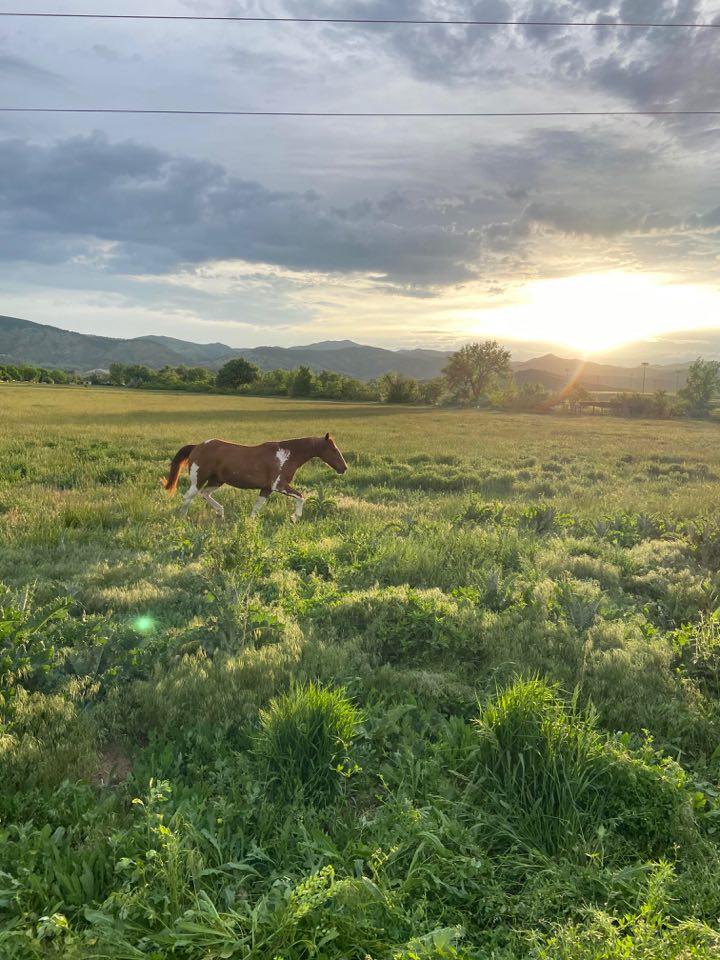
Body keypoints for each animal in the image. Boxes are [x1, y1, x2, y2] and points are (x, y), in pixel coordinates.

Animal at [162, 436, 348, 520]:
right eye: (333, 449)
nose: (344, 468)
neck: (286, 456)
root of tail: (197, 446)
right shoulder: (279, 485)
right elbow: (301, 496)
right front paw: (295, 517)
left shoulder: (266, 489)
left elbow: (257, 507)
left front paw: (250, 522)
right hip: (199, 480)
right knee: (188, 497)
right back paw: (183, 519)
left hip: (217, 480)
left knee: (205, 494)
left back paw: (221, 513)